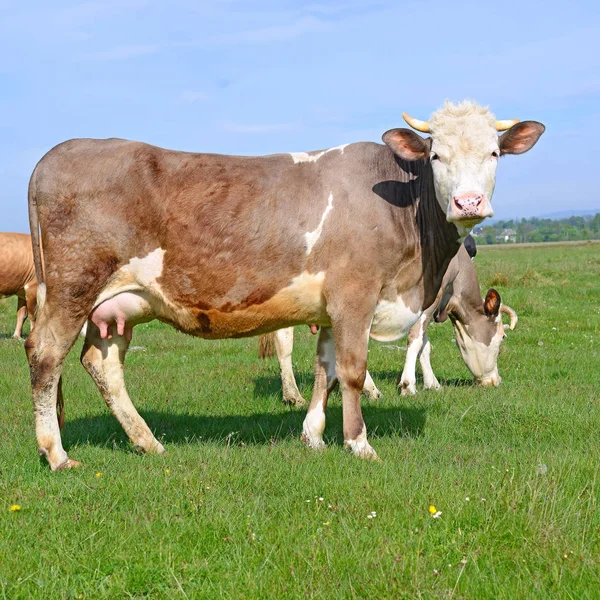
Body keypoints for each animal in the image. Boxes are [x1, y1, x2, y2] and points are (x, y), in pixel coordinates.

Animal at [25, 101, 548, 472]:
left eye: (494, 153)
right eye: (436, 154)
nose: (468, 202)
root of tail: (57, 153)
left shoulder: (330, 308)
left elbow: (325, 370)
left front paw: (313, 435)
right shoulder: (355, 295)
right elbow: (353, 371)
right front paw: (358, 443)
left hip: (119, 305)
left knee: (103, 364)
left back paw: (147, 441)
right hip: (73, 286)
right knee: (46, 354)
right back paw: (56, 453)